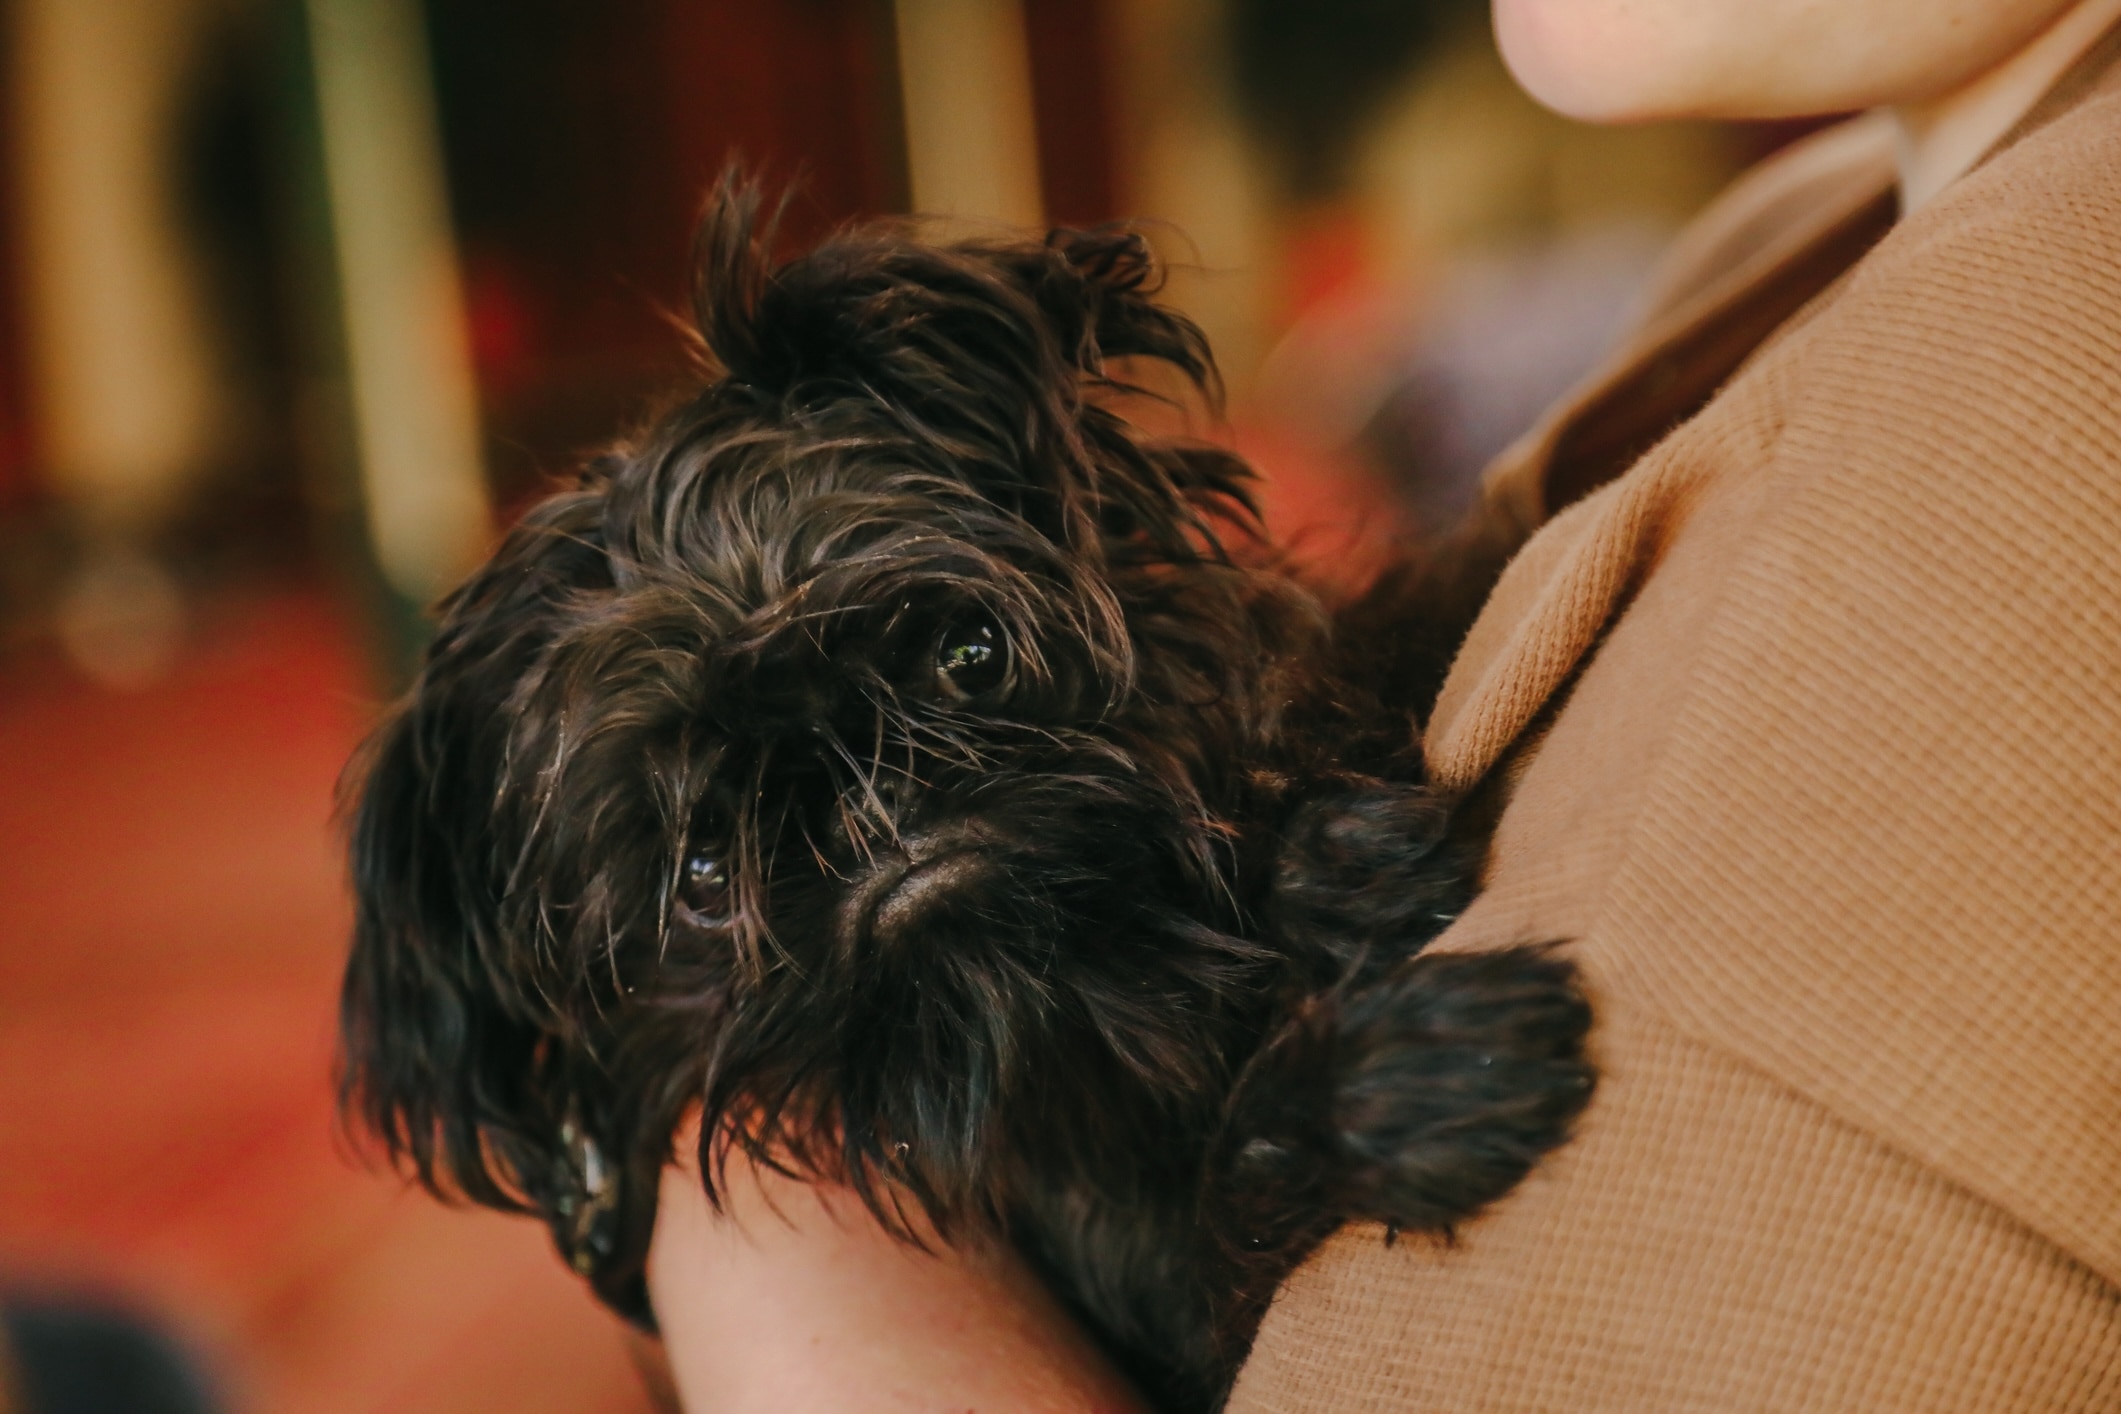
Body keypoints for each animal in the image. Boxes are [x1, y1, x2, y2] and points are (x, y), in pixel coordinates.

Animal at [335, 190, 1594, 1414]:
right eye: (700, 878)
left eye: (971, 655)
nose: (867, 810)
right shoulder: (1188, 1328)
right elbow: (1236, 1200)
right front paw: (1389, 1084)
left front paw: (1327, 873)